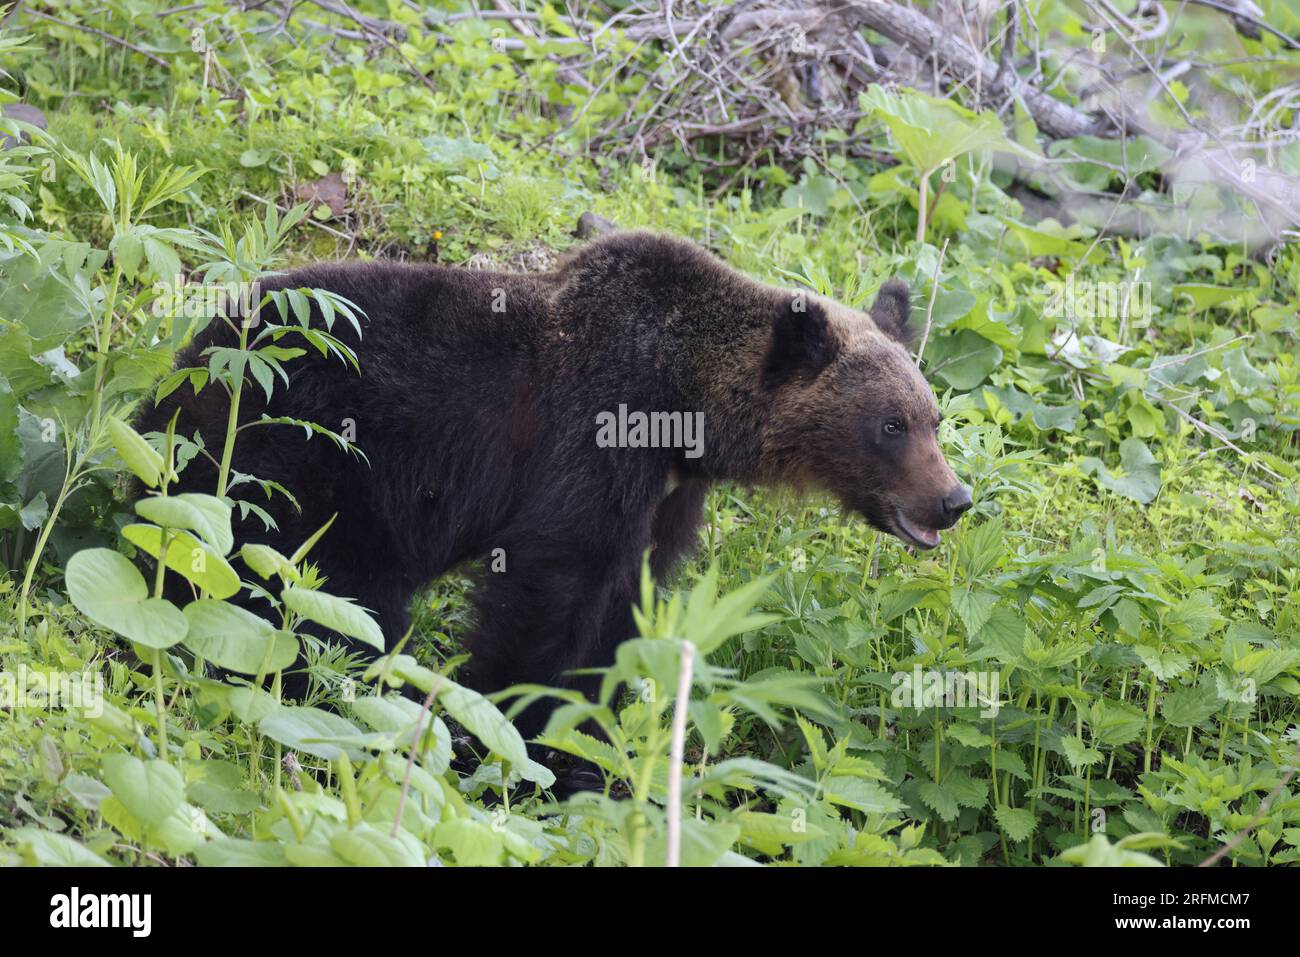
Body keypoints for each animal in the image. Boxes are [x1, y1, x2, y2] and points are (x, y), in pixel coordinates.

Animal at [138, 230, 972, 738]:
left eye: (933, 418)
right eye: (891, 424)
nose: (954, 499)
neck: (687, 414)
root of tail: (189, 360)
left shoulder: (664, 496)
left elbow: (622, 604)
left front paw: (585, 741)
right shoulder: (590, 438)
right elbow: (552, 585)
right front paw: (504, 724)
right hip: (301, 454)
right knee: (313, 586)